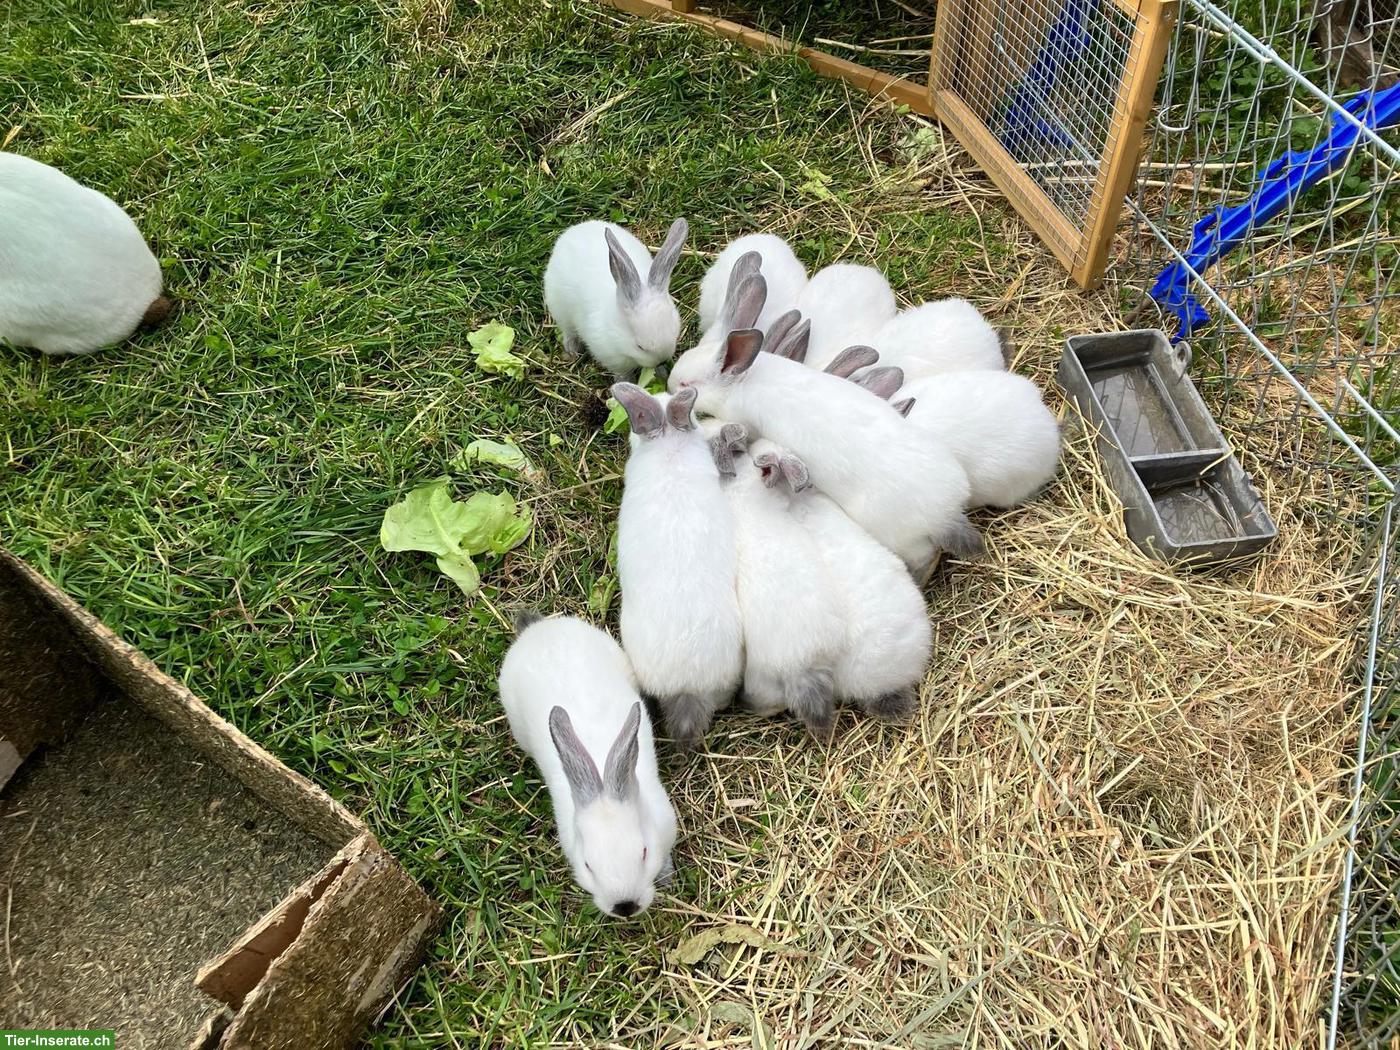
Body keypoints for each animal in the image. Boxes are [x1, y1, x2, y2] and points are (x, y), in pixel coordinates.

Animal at [543, 218, 688, 378]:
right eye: (640, 346)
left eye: (675, 334)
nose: (662, 361)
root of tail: (573, 230)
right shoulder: (613, 360)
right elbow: (622, 373)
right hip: (559, 309)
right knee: (568, 331)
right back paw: (572, 350)